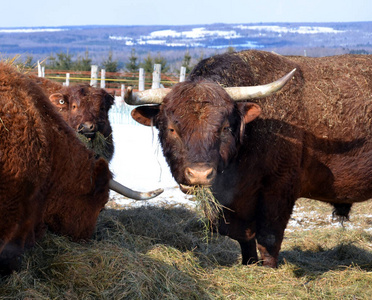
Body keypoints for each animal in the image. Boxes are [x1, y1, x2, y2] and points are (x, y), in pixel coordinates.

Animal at [124, 50, 372, 268]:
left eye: (225, 127)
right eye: (172, 129)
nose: (199, 175)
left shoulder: (279, 191)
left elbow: (268, 241)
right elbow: (245, 240)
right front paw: (248, 265)